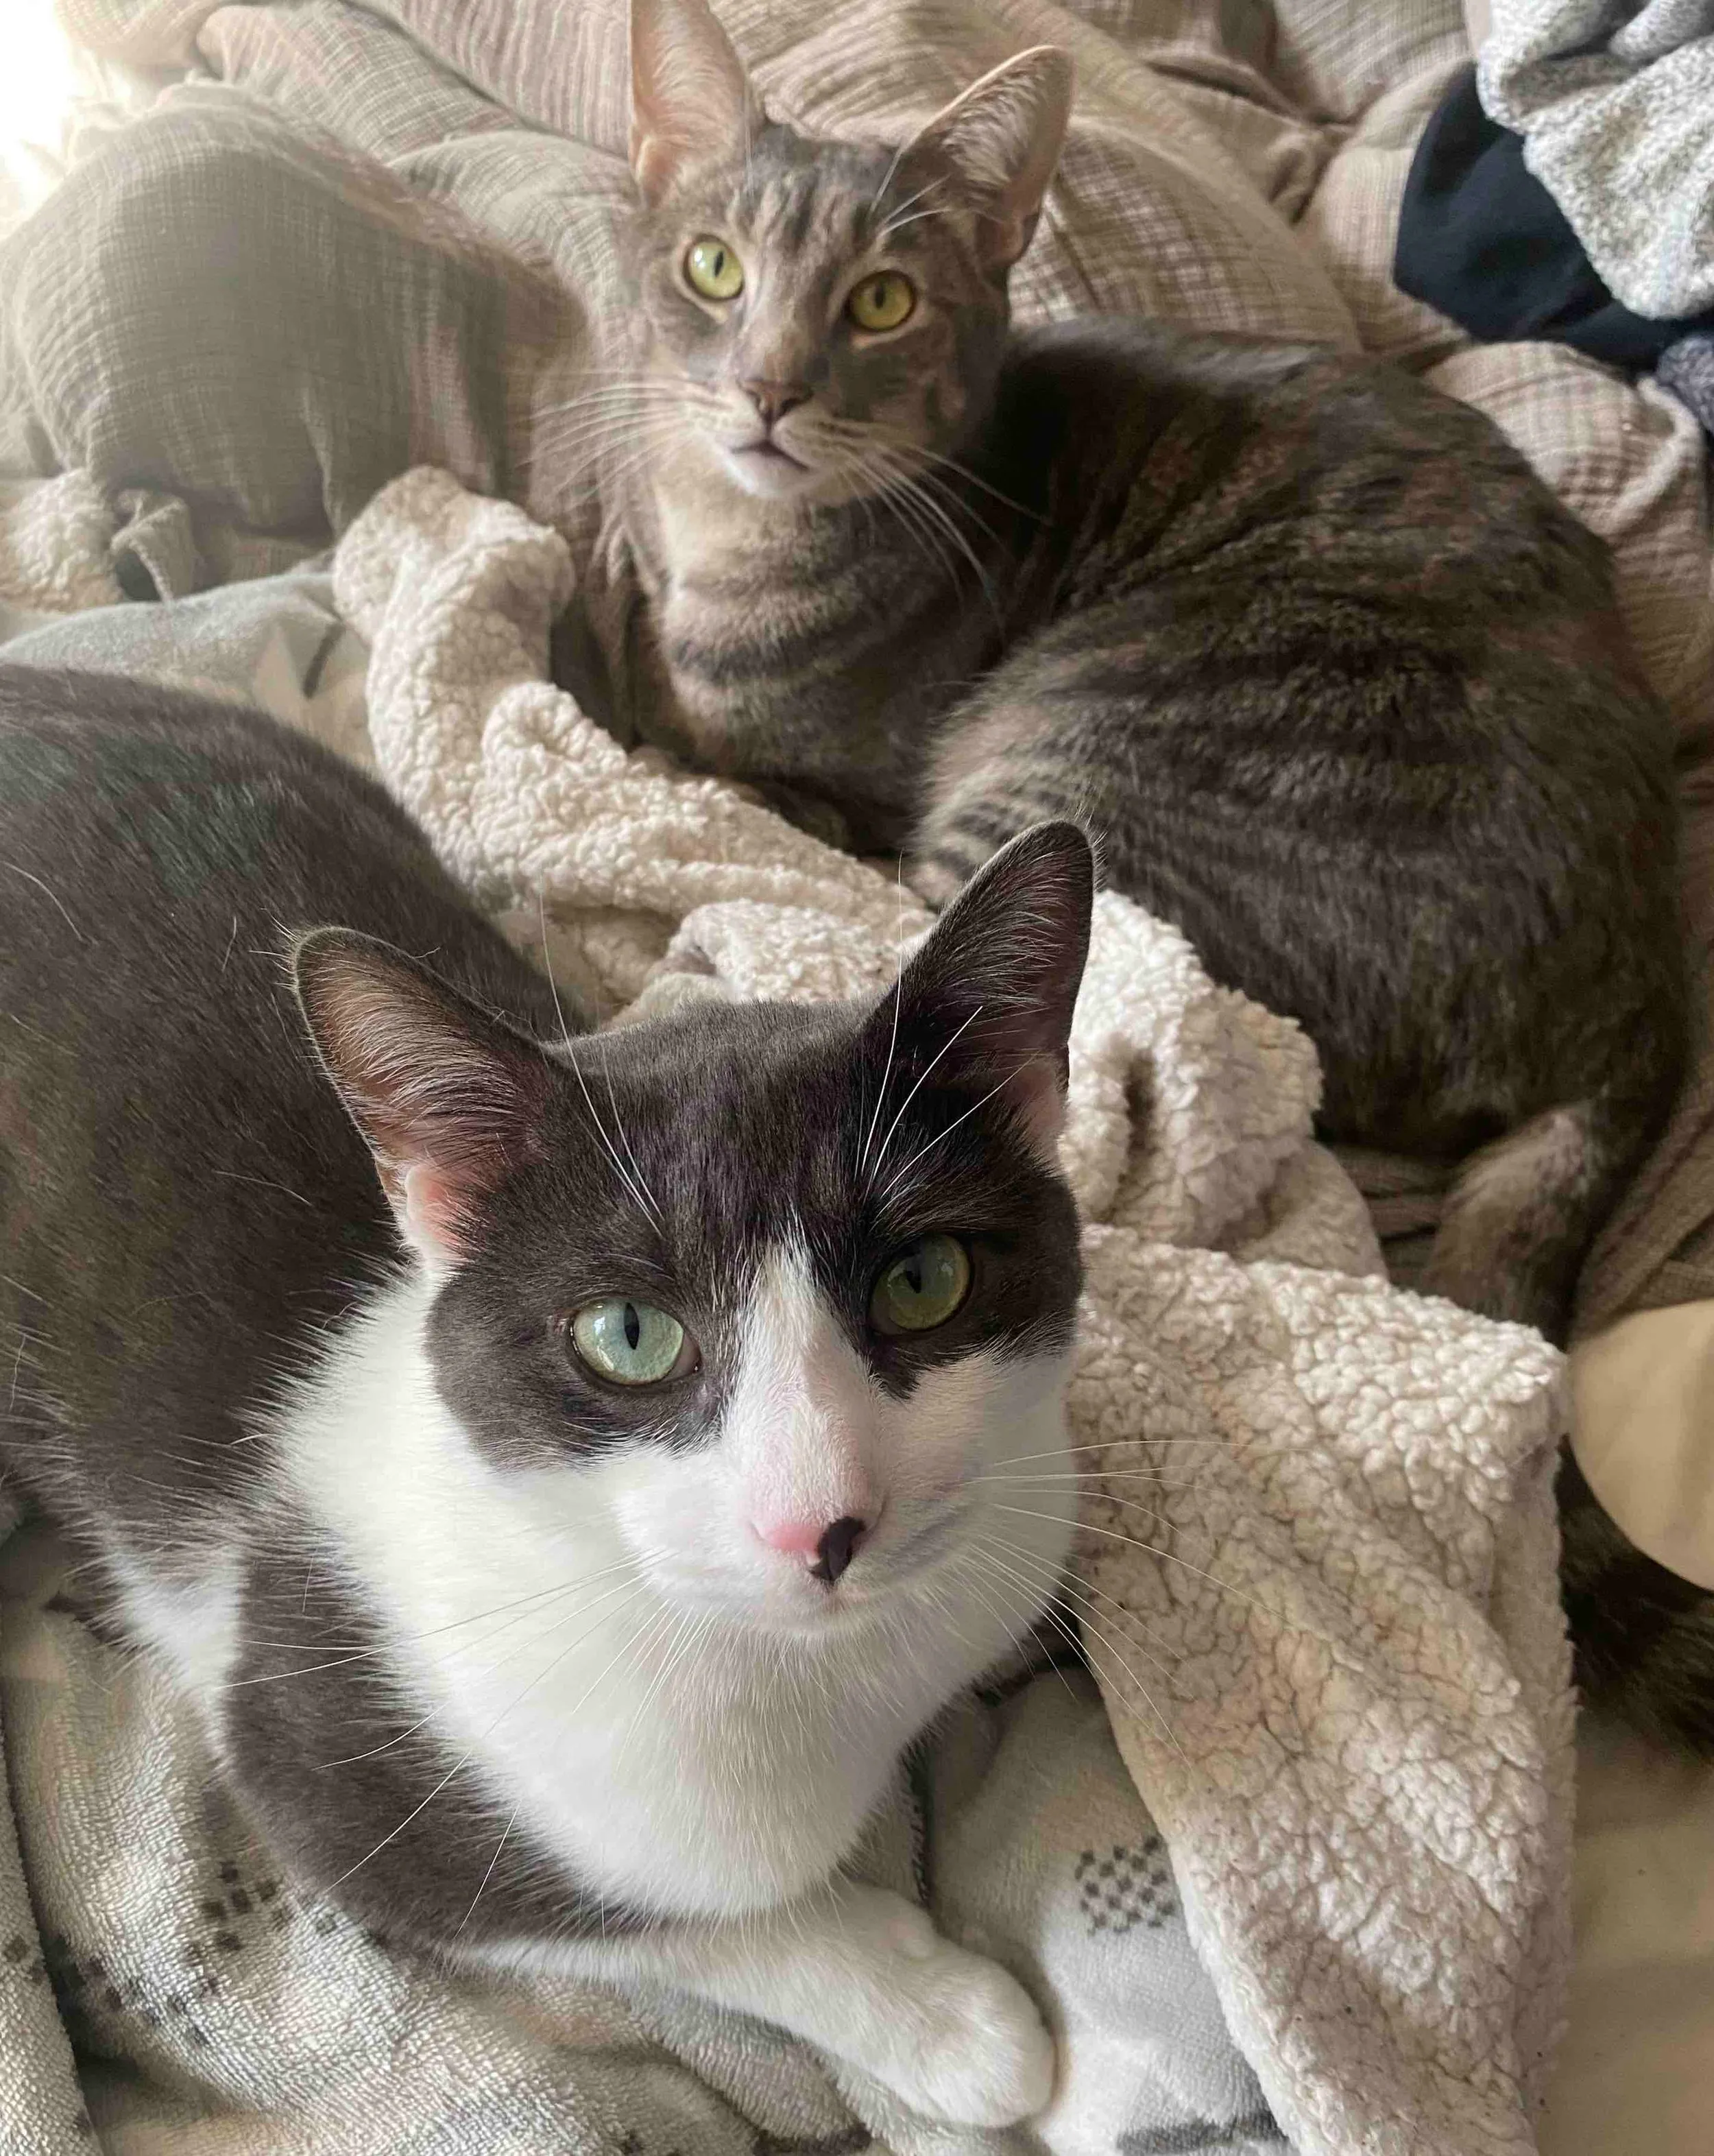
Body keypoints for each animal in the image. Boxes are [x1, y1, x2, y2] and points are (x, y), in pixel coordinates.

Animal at [0, 668, 1091, 2121]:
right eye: (629, 1334)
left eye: (924, 1279)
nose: (824, 1523)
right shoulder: (331, 1766)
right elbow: (665, 1914)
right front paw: (944, 2017)